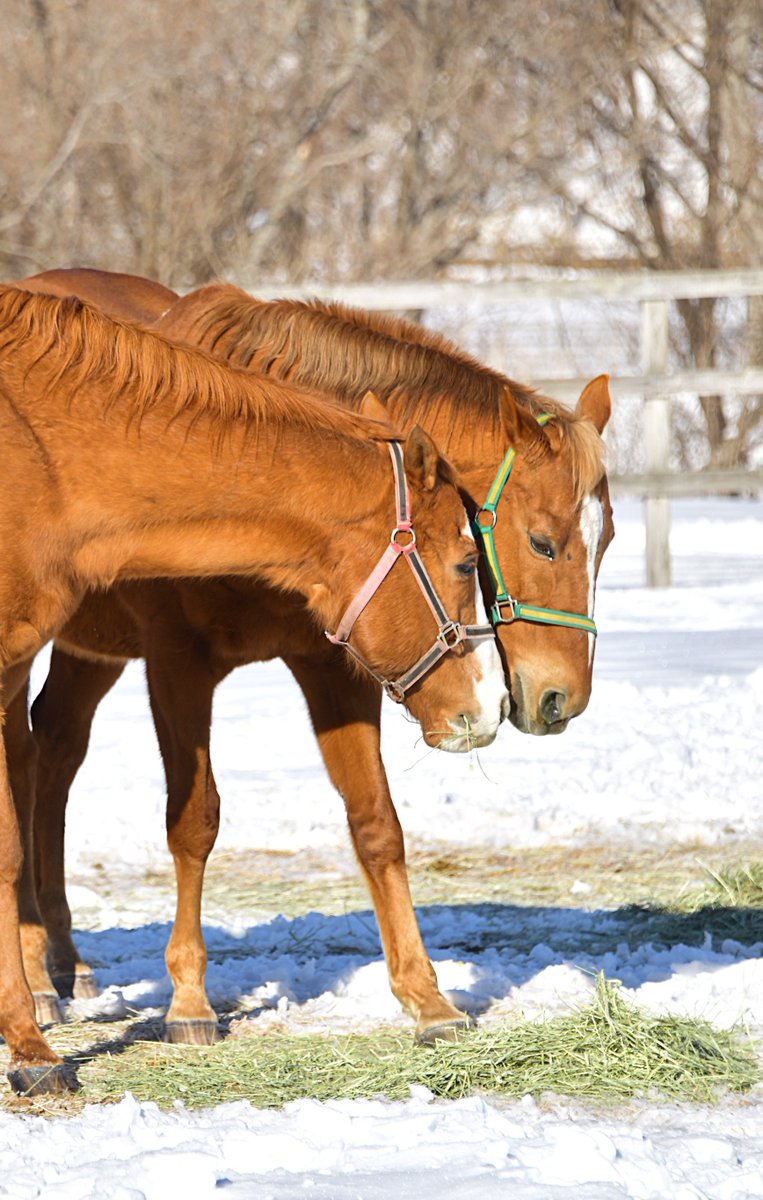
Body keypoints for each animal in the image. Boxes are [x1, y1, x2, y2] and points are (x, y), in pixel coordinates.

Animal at [13, 270, 613, 1061]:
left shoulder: (337, 668)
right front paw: (190, 1000)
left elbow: (376, 824)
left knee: (54, 754)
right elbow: (193, 822)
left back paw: (63, 961)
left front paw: (426, 998)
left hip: (90, 652)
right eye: (543, 542)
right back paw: (35, 979)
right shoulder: (177, 669)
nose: (560, 700)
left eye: (607, 541)